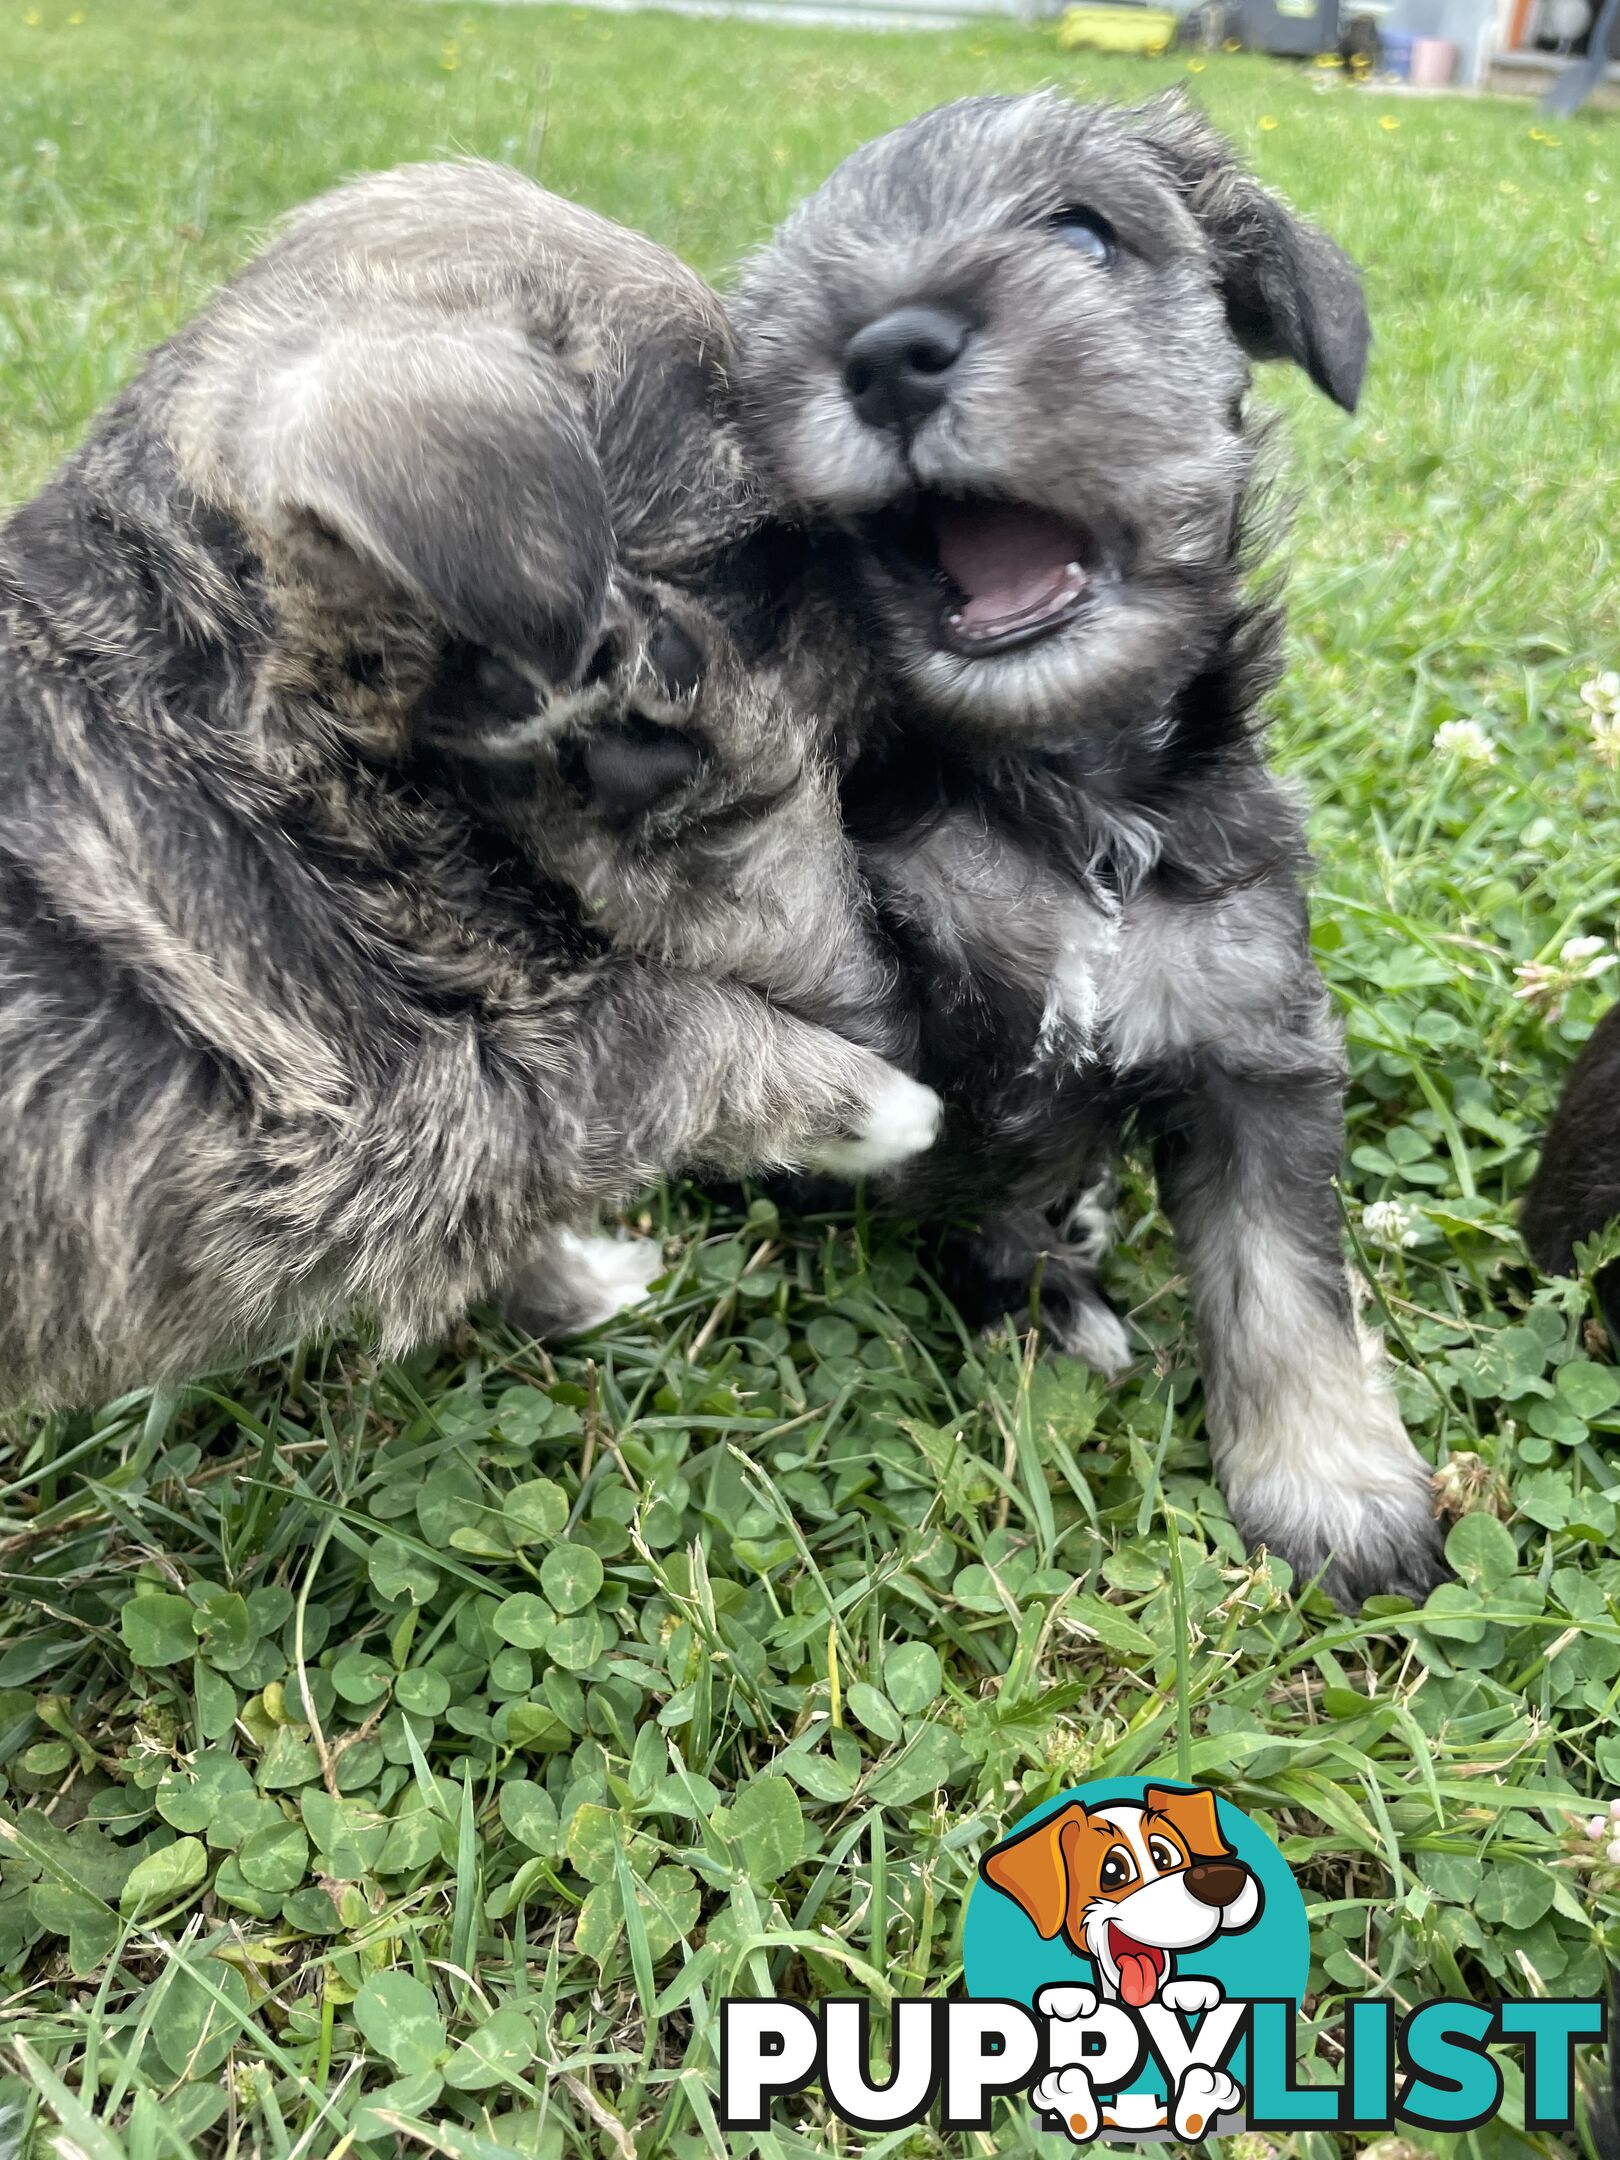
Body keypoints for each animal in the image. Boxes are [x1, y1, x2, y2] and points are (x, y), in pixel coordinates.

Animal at [0, 172, 937, 1416]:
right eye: (760, 554)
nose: (911, 649)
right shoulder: (453, 1078)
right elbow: (694, 1025)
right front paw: (883, 1107)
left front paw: (580, 1288)